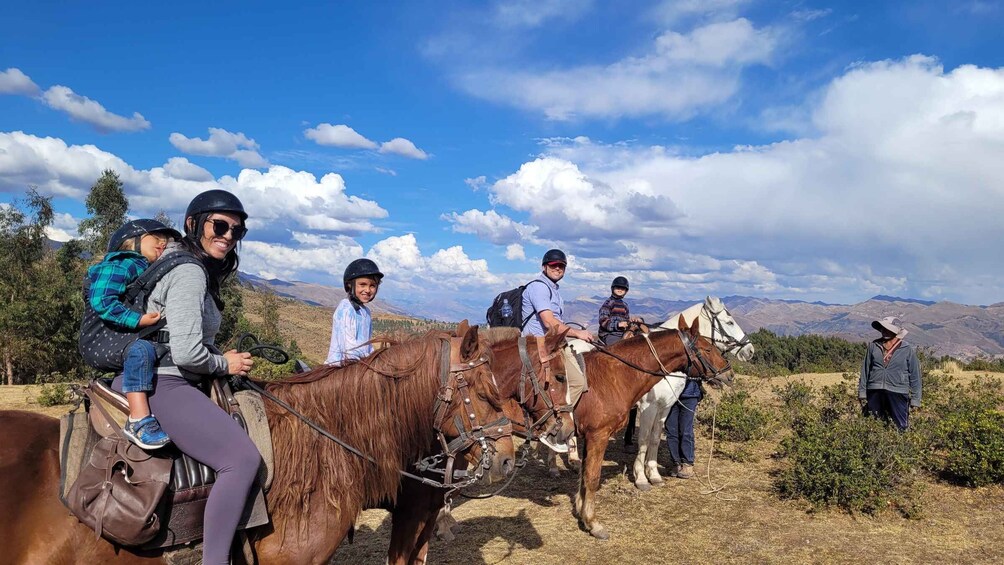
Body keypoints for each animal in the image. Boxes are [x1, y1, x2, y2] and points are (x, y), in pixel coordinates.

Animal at [634, 297, 755, 491]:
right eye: (729, 322)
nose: (750, 350)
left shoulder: (664, 407)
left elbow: (654, 438)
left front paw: (653, 474)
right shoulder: (648, 408)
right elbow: (644, 439)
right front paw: (640, 478)